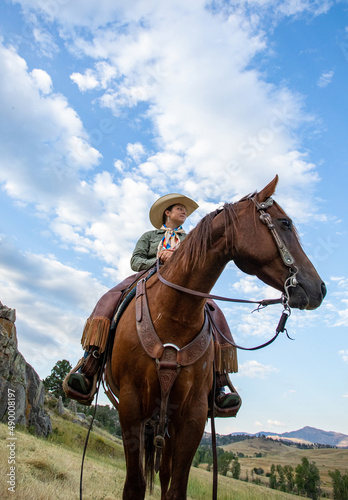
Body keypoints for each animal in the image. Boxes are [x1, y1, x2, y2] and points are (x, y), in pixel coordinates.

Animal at [108, 174, 326, 498]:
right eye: (285, 223)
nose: (320, 288)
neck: (173, 314)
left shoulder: (194, 414)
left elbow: (177, 487)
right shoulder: (130, 406)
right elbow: (134, 485)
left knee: (165, 473)